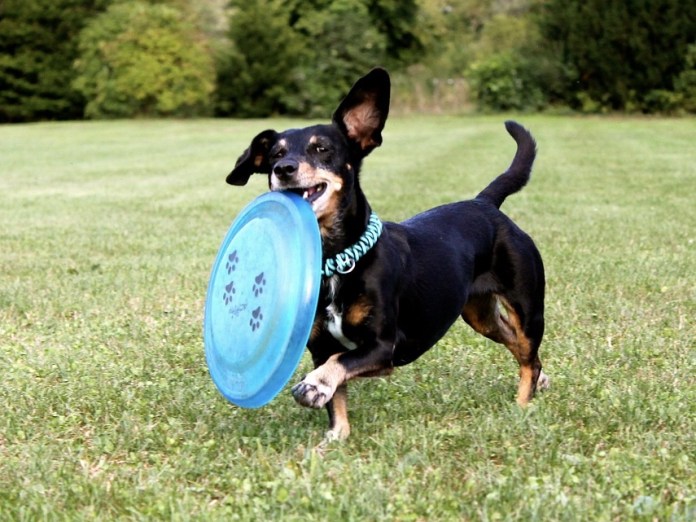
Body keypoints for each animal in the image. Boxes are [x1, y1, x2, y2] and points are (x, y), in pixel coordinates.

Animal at [228, 67, 548, 436]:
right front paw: (336, 437)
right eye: (276, 155)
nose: (284, 170)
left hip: (527, 307)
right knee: (520, 347)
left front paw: (314, 385)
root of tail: (485, 203)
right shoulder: (322, 346)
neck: (339, 262)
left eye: (321, 148)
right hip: (480, 315)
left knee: (528, 352)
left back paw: (523, 403)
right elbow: (337, 396)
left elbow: (340, 362)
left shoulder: (383, 348)